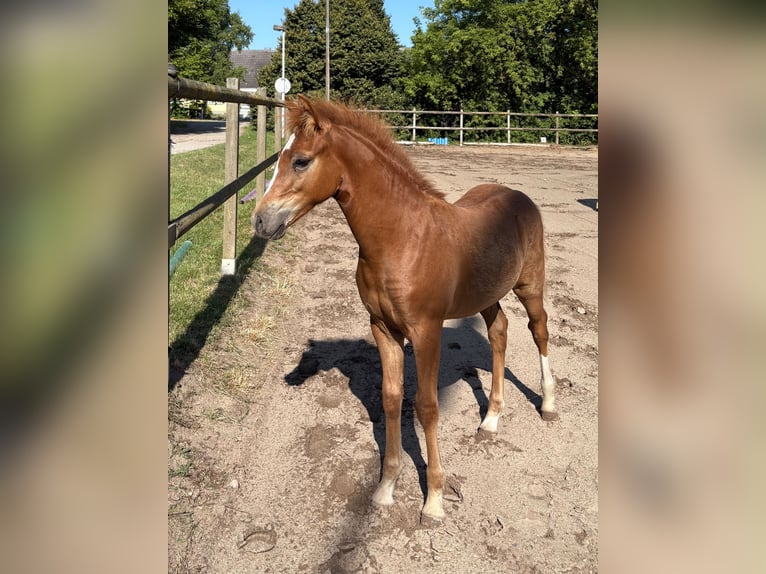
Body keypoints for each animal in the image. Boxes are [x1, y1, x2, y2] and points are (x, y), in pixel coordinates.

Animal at [250, 95, 557, 522]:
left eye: (301, 161)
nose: (260, 221)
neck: (401, 238)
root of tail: (517, 194)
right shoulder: (383, 328)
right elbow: (392, 398)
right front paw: (385, 488)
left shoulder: (426, 331)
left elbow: (426, 407)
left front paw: (434, 499)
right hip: (486, 295)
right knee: (499, 331)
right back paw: (491, 418)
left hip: (530, 285)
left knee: (539, 329)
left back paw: (548, 404)